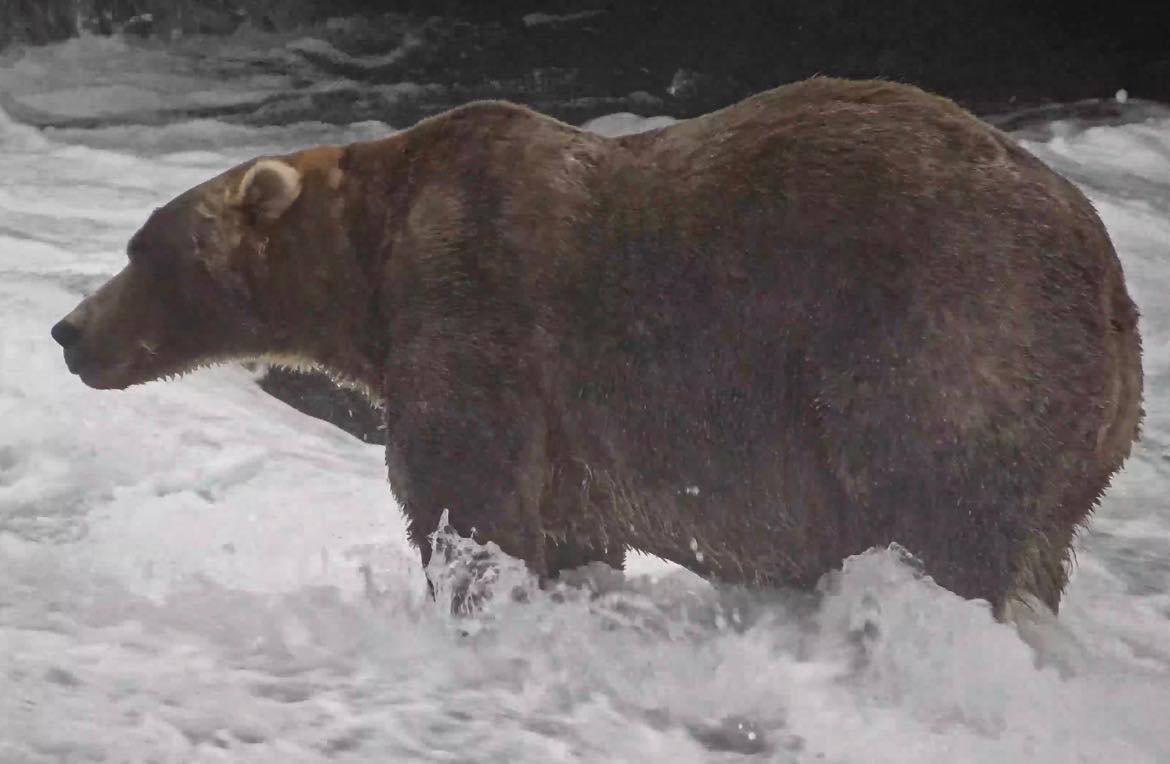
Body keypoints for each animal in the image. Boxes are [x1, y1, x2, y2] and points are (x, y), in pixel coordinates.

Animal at [51, 77, 1143, 617]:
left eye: (142, 248)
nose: (69, 331)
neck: (370, 266)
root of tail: (1112, 283)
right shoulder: (570, 433)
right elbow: (569, 527)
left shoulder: (478, 305)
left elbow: (466, 495)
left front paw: (470, 595)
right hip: (1080, 440)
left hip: (942, 339)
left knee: (940, 514)